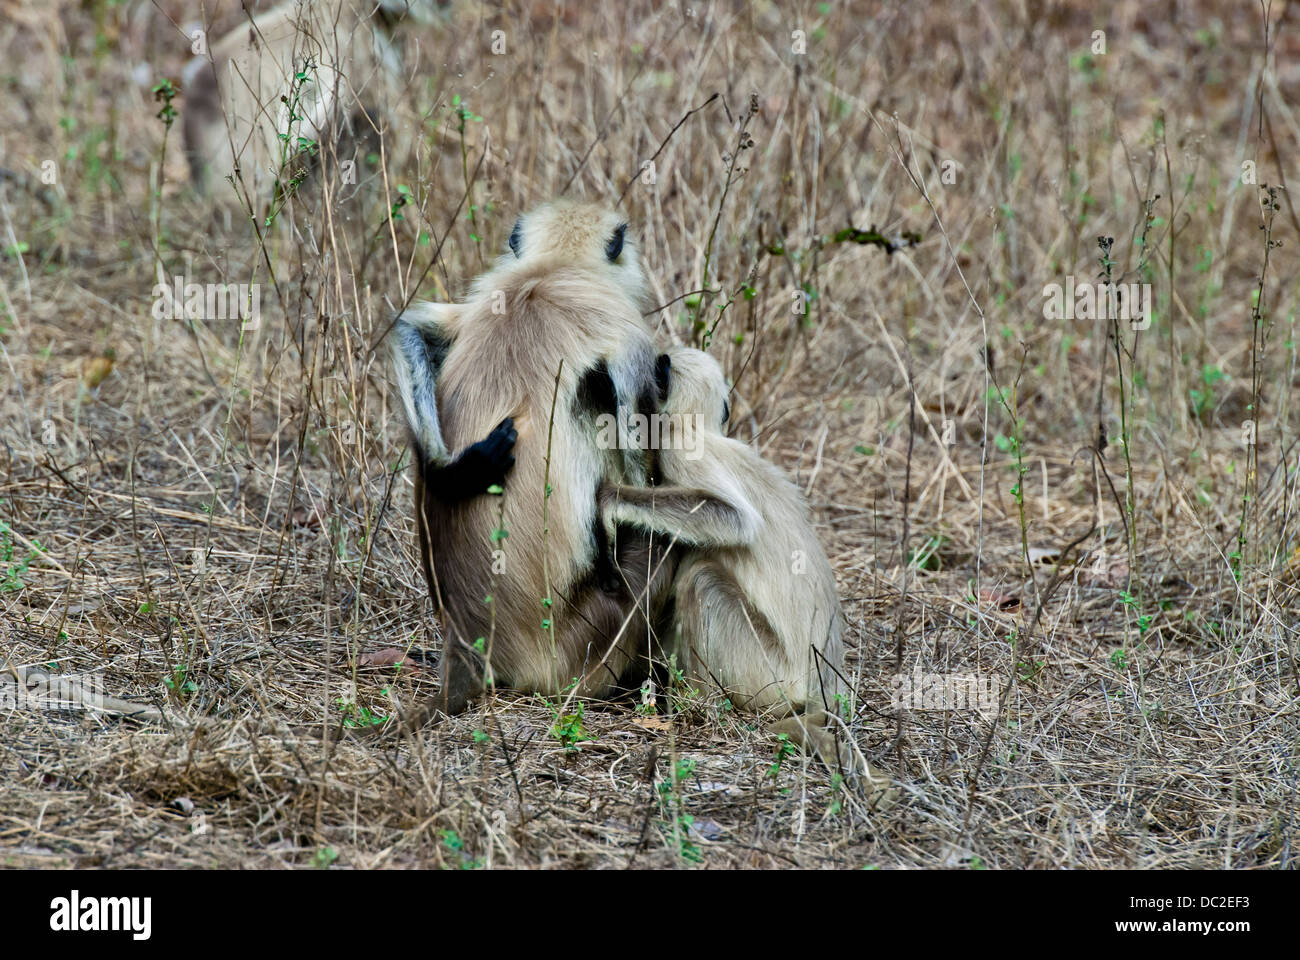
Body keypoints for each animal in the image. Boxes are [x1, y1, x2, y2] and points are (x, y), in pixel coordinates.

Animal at [390, 200, 681, 718]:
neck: (552, 269)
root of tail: (467, 644)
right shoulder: (627, 335)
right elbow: (636, 455)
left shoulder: (485, 293)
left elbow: (411, 329)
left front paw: (453, 472)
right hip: (585, 644)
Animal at [598, 343, 894, 790]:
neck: (698, 428)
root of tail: (823, 688)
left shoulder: (679, 451)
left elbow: (734, 520)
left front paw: (611, 499)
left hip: (767, 673)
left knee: (700, 575)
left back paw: (696, 705)